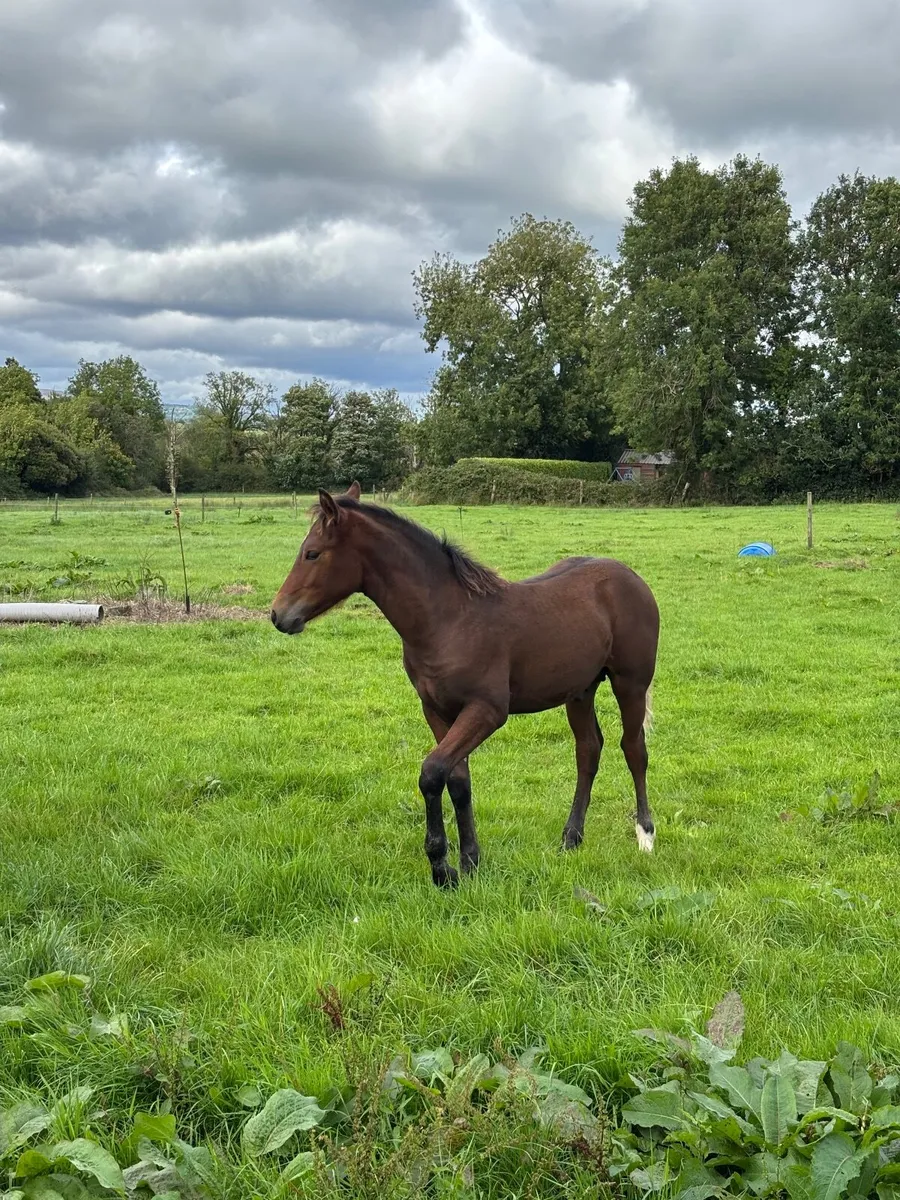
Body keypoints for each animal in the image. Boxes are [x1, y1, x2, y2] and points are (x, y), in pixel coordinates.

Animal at [271, 481, 660, 888]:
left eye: (312, 553)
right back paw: (571, 838)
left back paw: (645, 835)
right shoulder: (437, 710)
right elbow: (457, 779)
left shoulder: (487, 711)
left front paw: (442, 867)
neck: (448, 619)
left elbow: (432, 772)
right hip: (580, 690)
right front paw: (470, 861)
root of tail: (629, 576)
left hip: (630, 684)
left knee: (634, 749)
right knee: (588, 749)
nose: (278, 615)